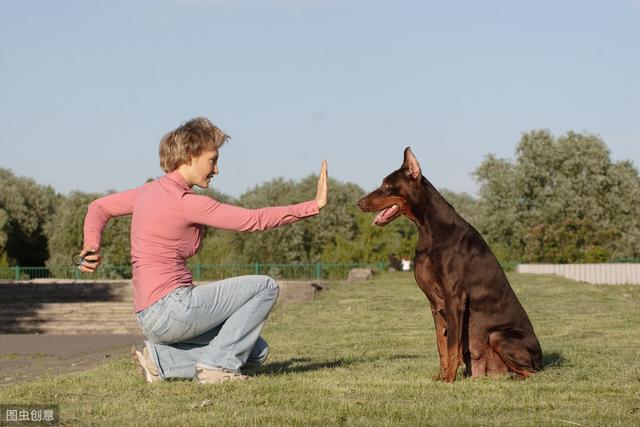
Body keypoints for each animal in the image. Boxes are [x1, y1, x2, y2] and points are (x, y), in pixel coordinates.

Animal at [358, 149, 544, 382]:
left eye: (387, 185)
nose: (359, 203)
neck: (428, 230)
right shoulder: (435, 305)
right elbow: (441, 345)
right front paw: (440, 377)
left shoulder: (454, 298)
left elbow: (452, 345)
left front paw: (448, 379)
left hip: (499, 335)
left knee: (532, 372)